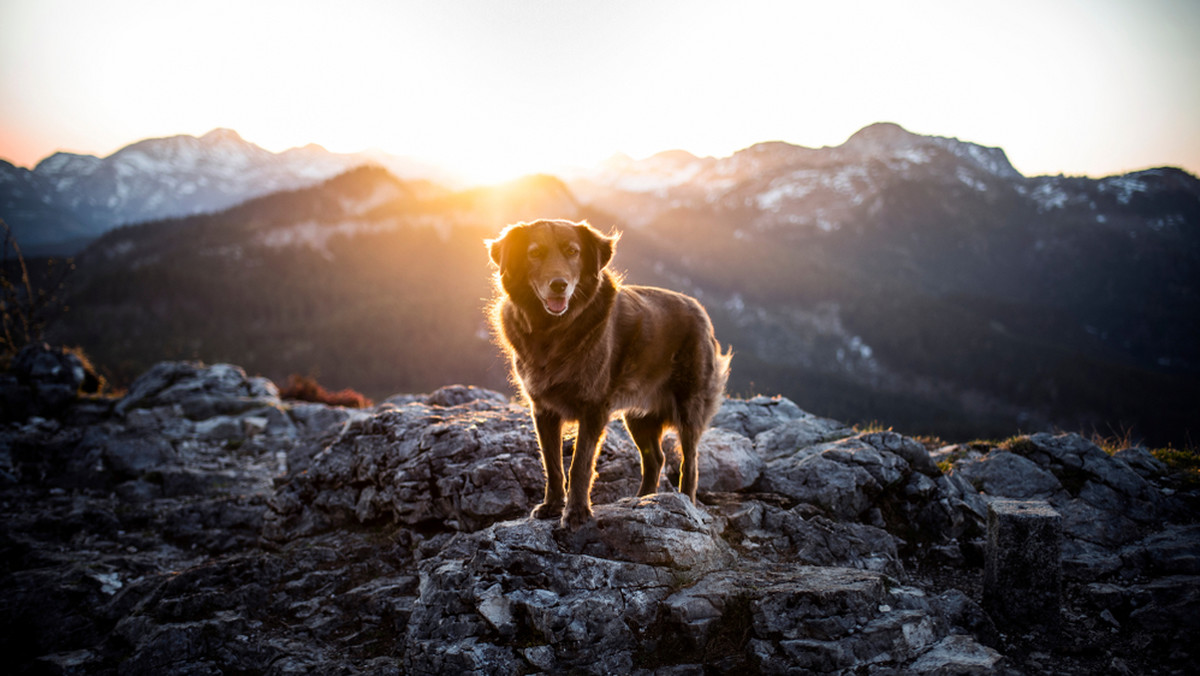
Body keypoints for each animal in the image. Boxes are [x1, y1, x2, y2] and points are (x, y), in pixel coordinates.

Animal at [487, 219, 729, 530]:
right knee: (655, 458)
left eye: (572, 251)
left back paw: (686, 502)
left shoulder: (593, 408)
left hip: (689, 405)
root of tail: (700, 310)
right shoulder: (543, 410)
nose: (559, 285)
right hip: (637, 416)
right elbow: (552, 464)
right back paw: (642, 500)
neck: (553, 330)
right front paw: (552, 506)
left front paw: (577, 512)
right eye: (535, 253)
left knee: (690, 461)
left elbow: (579, 465)